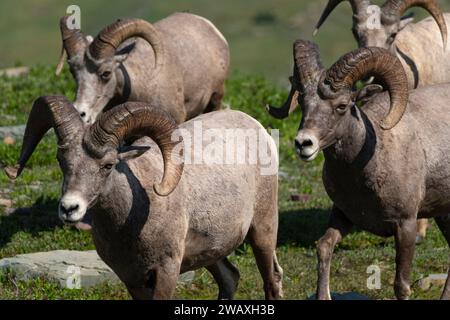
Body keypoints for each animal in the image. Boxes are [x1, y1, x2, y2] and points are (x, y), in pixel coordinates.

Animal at [6, 97, 282, 300]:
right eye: (62, 161)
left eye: (108, 165)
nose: (69, 208)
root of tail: (257, 127)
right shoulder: (133, 280)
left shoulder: (166, 272)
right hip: (212, 253)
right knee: (230, 279)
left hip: (263, 231)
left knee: (272, 279)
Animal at [268, 40, 450, 300]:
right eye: (302, 103)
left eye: (342, 106)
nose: (304, 144)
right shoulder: (343, 215)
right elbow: (324, 247)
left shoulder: (406, 225)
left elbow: (401, 284)